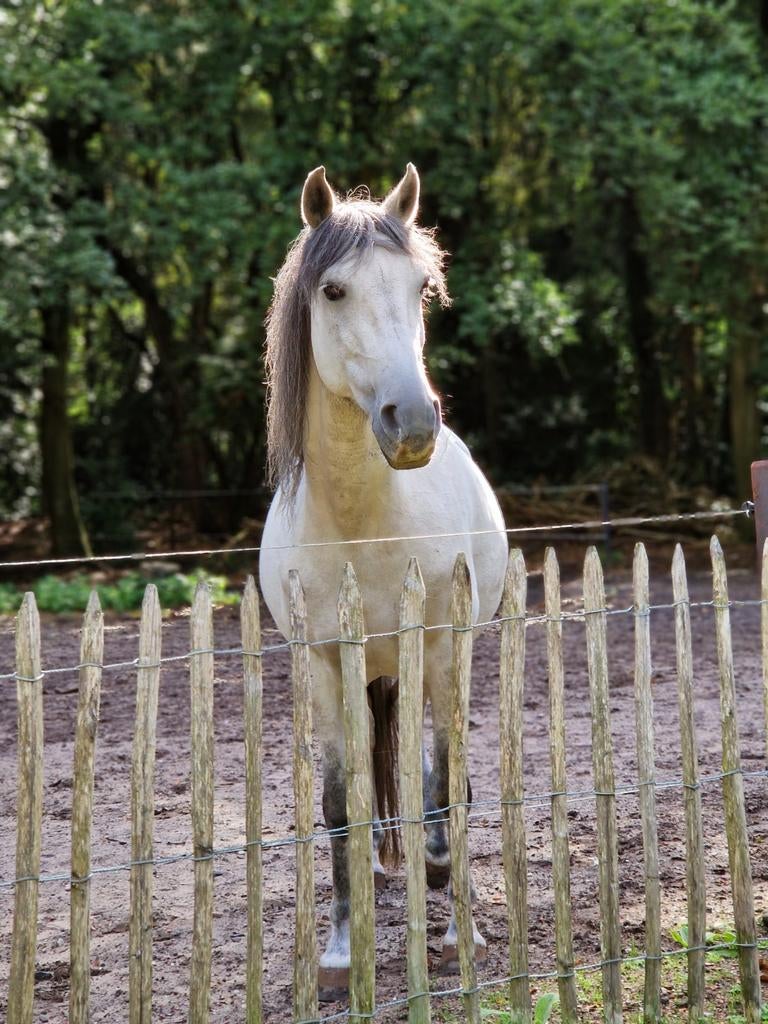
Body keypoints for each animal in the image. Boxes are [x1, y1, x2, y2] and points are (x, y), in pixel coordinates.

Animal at [259, 164, 508, 999]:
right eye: (333, 290)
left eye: (421, 289)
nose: (414, 424)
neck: (361, 520)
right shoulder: (325, 662)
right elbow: (341, 802)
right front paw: (339, 949)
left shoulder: (433, 644)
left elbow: (446, 785)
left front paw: (457, 927)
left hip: (444, 656)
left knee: (442, 778)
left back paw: (437, 873)